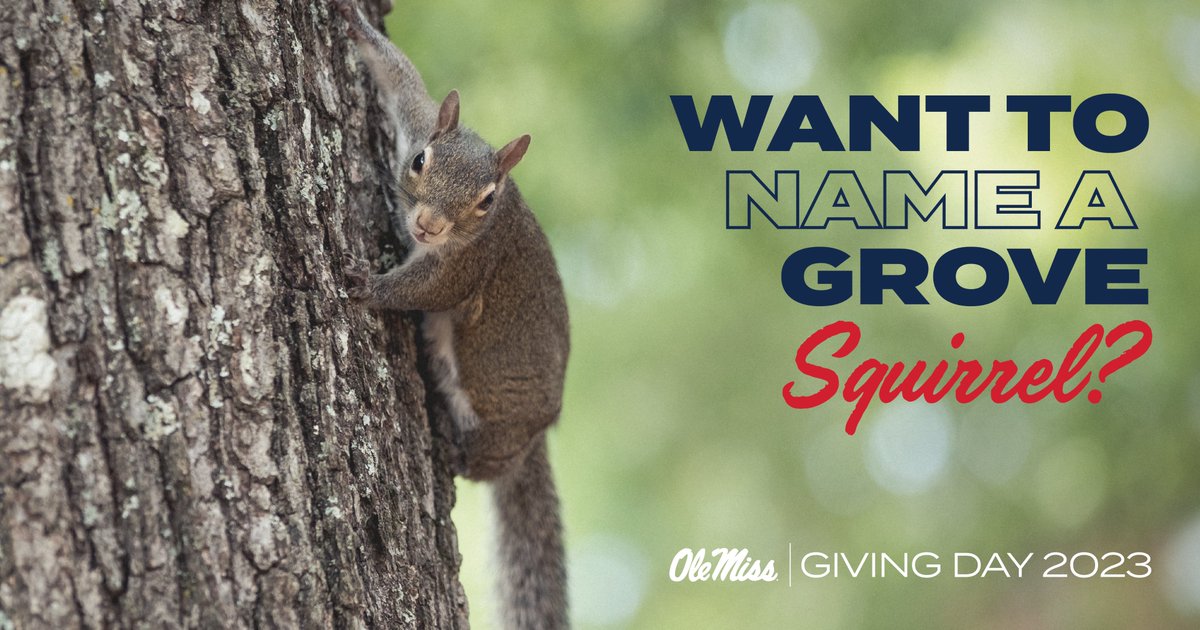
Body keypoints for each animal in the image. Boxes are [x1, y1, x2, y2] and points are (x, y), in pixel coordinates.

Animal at [330, 1, 570, 628]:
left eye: (485, 201)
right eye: (419, 161)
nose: (429, 226)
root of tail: (542, 429)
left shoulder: (467, 267)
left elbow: (427, 289)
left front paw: (369, 287)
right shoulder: (418, 120)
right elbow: (402, 81)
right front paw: (356, 27)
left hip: (500, 426)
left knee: (486, 462)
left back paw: (451, 447)